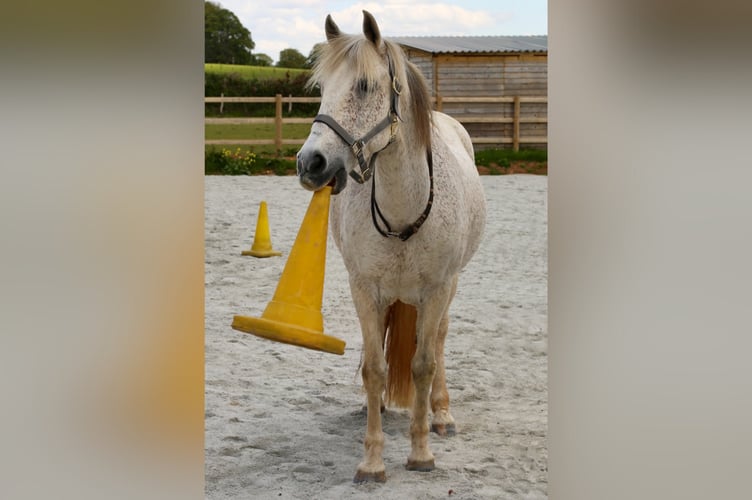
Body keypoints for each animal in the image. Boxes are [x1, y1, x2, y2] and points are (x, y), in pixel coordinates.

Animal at [296, 11, 487, 483]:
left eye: (365, 86)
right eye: (322, 87)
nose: (310, 163)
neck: (404, 210)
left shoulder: (437, 289)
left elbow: (422, 364)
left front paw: (420, 453)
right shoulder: (365, 290)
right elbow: (375, 368)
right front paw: (372, 460)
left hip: (449, 289)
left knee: (439, 340)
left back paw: (441, 415)